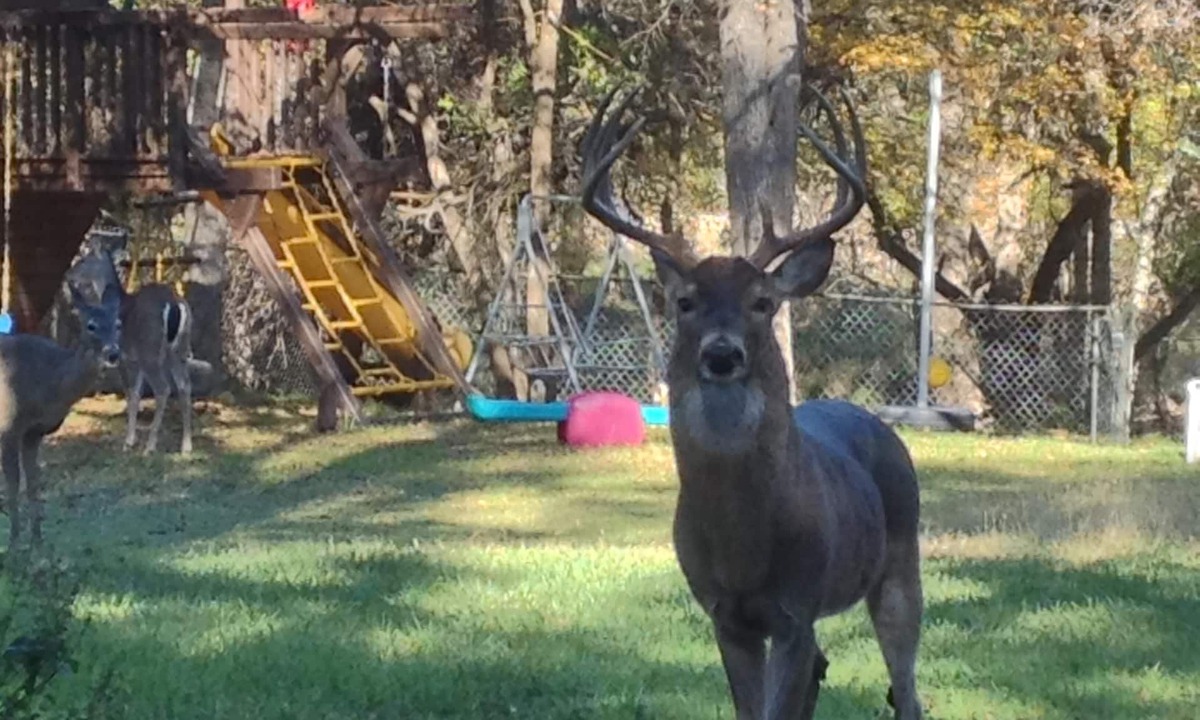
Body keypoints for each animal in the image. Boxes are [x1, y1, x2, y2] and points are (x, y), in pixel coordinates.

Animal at [0, 279, 123, 549]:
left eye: (118, 323)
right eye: (91, 325)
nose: (113, 353)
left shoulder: (33, 433)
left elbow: (33, 483)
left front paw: (37, 541)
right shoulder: (8, 426)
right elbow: (13, 484)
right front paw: (14, 542)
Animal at [579, 87, 924, 720]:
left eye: (762, 302)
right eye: (685, 301)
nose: (722, 353)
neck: (743, 548)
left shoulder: (797, 607)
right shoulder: (724, 614)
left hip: (900, 554)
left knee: (907, 690)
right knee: (823, 670)